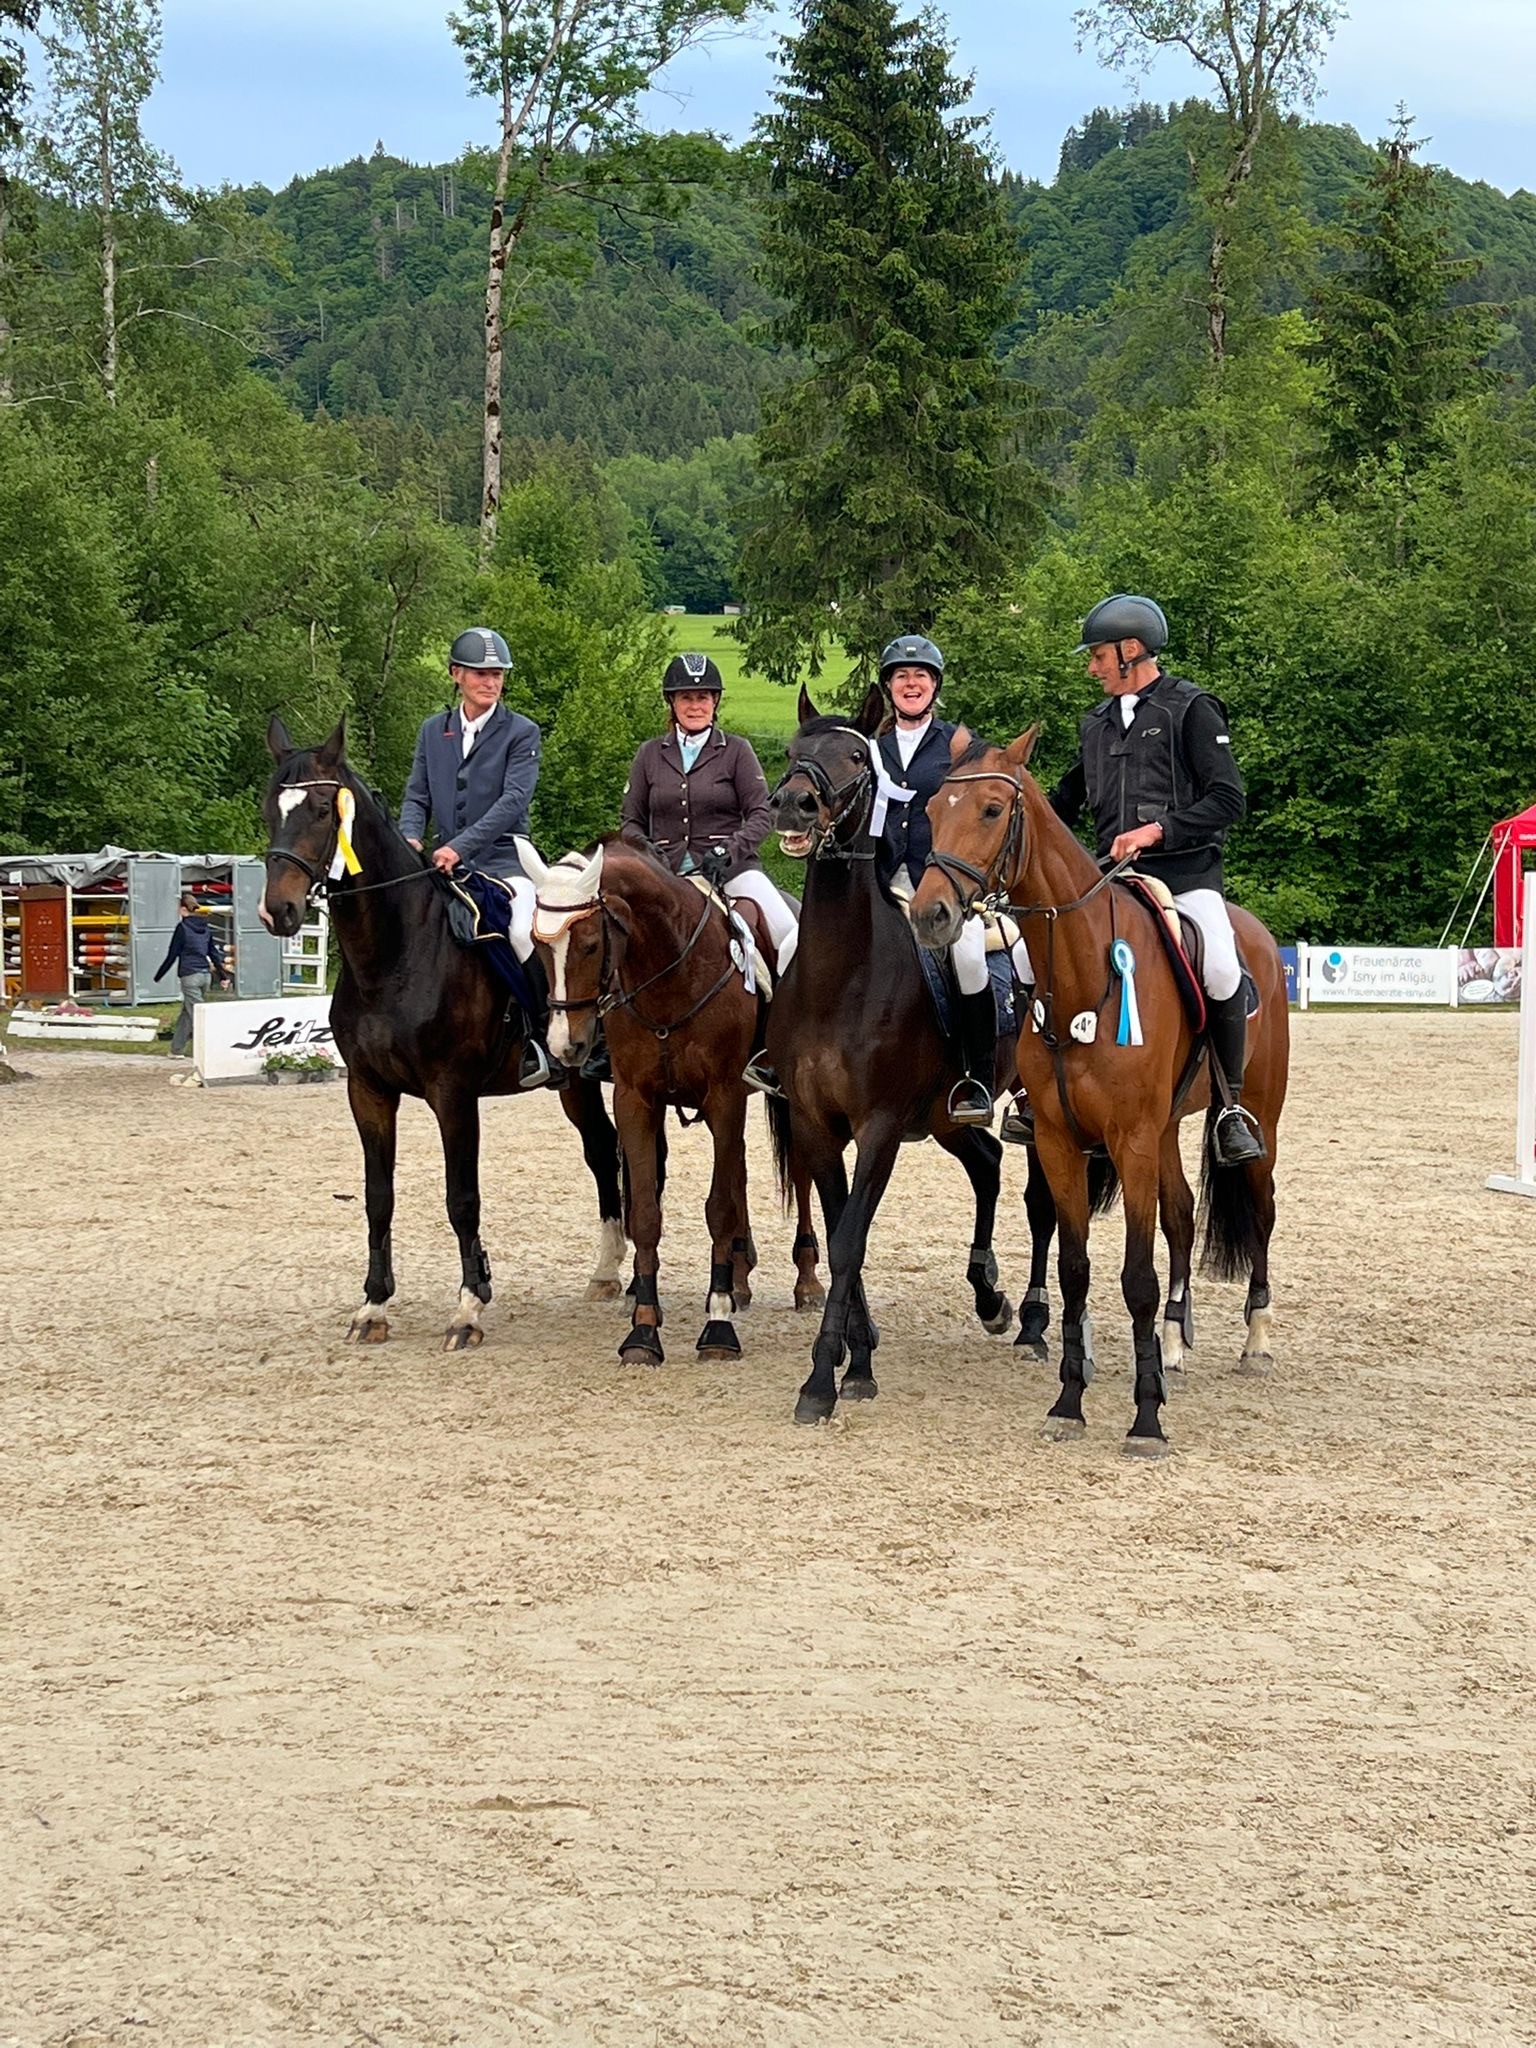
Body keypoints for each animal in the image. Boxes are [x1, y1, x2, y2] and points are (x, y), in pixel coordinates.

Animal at [260, 718, 627, 1349]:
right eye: (269, 807)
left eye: (322, 809)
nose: (277, 912)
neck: (394, 955)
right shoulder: (368, 1092)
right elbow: (377, 1198)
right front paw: (374, 1306)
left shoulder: (452, 1093)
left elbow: (462, 1197)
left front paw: (469, 1308)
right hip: (575, 1077)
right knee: (602, 1149)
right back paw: (606, 1272)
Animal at [515, 835, 824, 1365]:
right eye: (537, 946)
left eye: (591, 944)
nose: (565, 1045)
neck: (669, 970)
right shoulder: (636, 1100)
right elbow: (645, 1211)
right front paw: (643, 1327)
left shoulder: (724, 1095)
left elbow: (718, 1208)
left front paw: (718, 1325)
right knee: (739, 1169)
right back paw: (740, 1277)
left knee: (798, 1176)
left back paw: (804, 1282)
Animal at [763, 686, 1064, 1424]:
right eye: (795, 750)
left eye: (852, 758)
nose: (794, 804)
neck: (839, 979)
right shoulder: (816, 1126)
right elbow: (842, 1230)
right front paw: (858, 1355)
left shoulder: (878, 1128)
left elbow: (850, 1240)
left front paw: (824, 1380)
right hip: (944, 1116)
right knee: (985, 1164)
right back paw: (989, 1296)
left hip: (1026, 1108)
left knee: (1040, 1200)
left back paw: (1032, 1322)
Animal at [911, 726, 1289, 1456]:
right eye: (934, 809)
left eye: (993, 811)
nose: (930, 914)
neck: (1085, 973)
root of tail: (1255, 931)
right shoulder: (1063, 1143)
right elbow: (1075, 1268)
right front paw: (1069, 1402)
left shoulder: (1130, 1140)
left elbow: (1135, 1278)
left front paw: (1145, 1419)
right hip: (1167, 1131)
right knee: (1181, 1216)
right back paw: (1172, 1344)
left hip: (1256, 1117)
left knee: (1260, 1211)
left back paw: (1256, 1340)